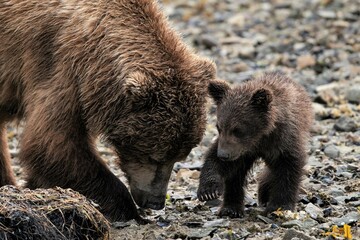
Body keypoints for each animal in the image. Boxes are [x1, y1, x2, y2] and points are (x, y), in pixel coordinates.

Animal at [0, 0, 215, 222]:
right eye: (154, 157)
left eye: (179, 157)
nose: (155, 201)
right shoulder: (60, 67)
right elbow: (52, 142)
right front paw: (126, 207)